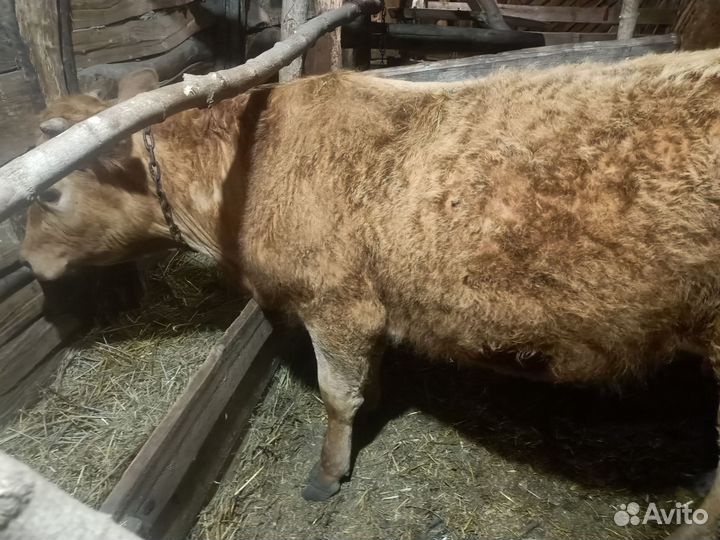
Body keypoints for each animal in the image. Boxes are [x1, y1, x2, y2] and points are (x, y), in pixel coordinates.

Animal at [19, 49, 720, 538]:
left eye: (49, 192)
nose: (25, 260)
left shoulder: (337, 304)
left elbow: (336, 394)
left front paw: (329, 472)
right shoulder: (370, 309)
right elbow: (366, 379)